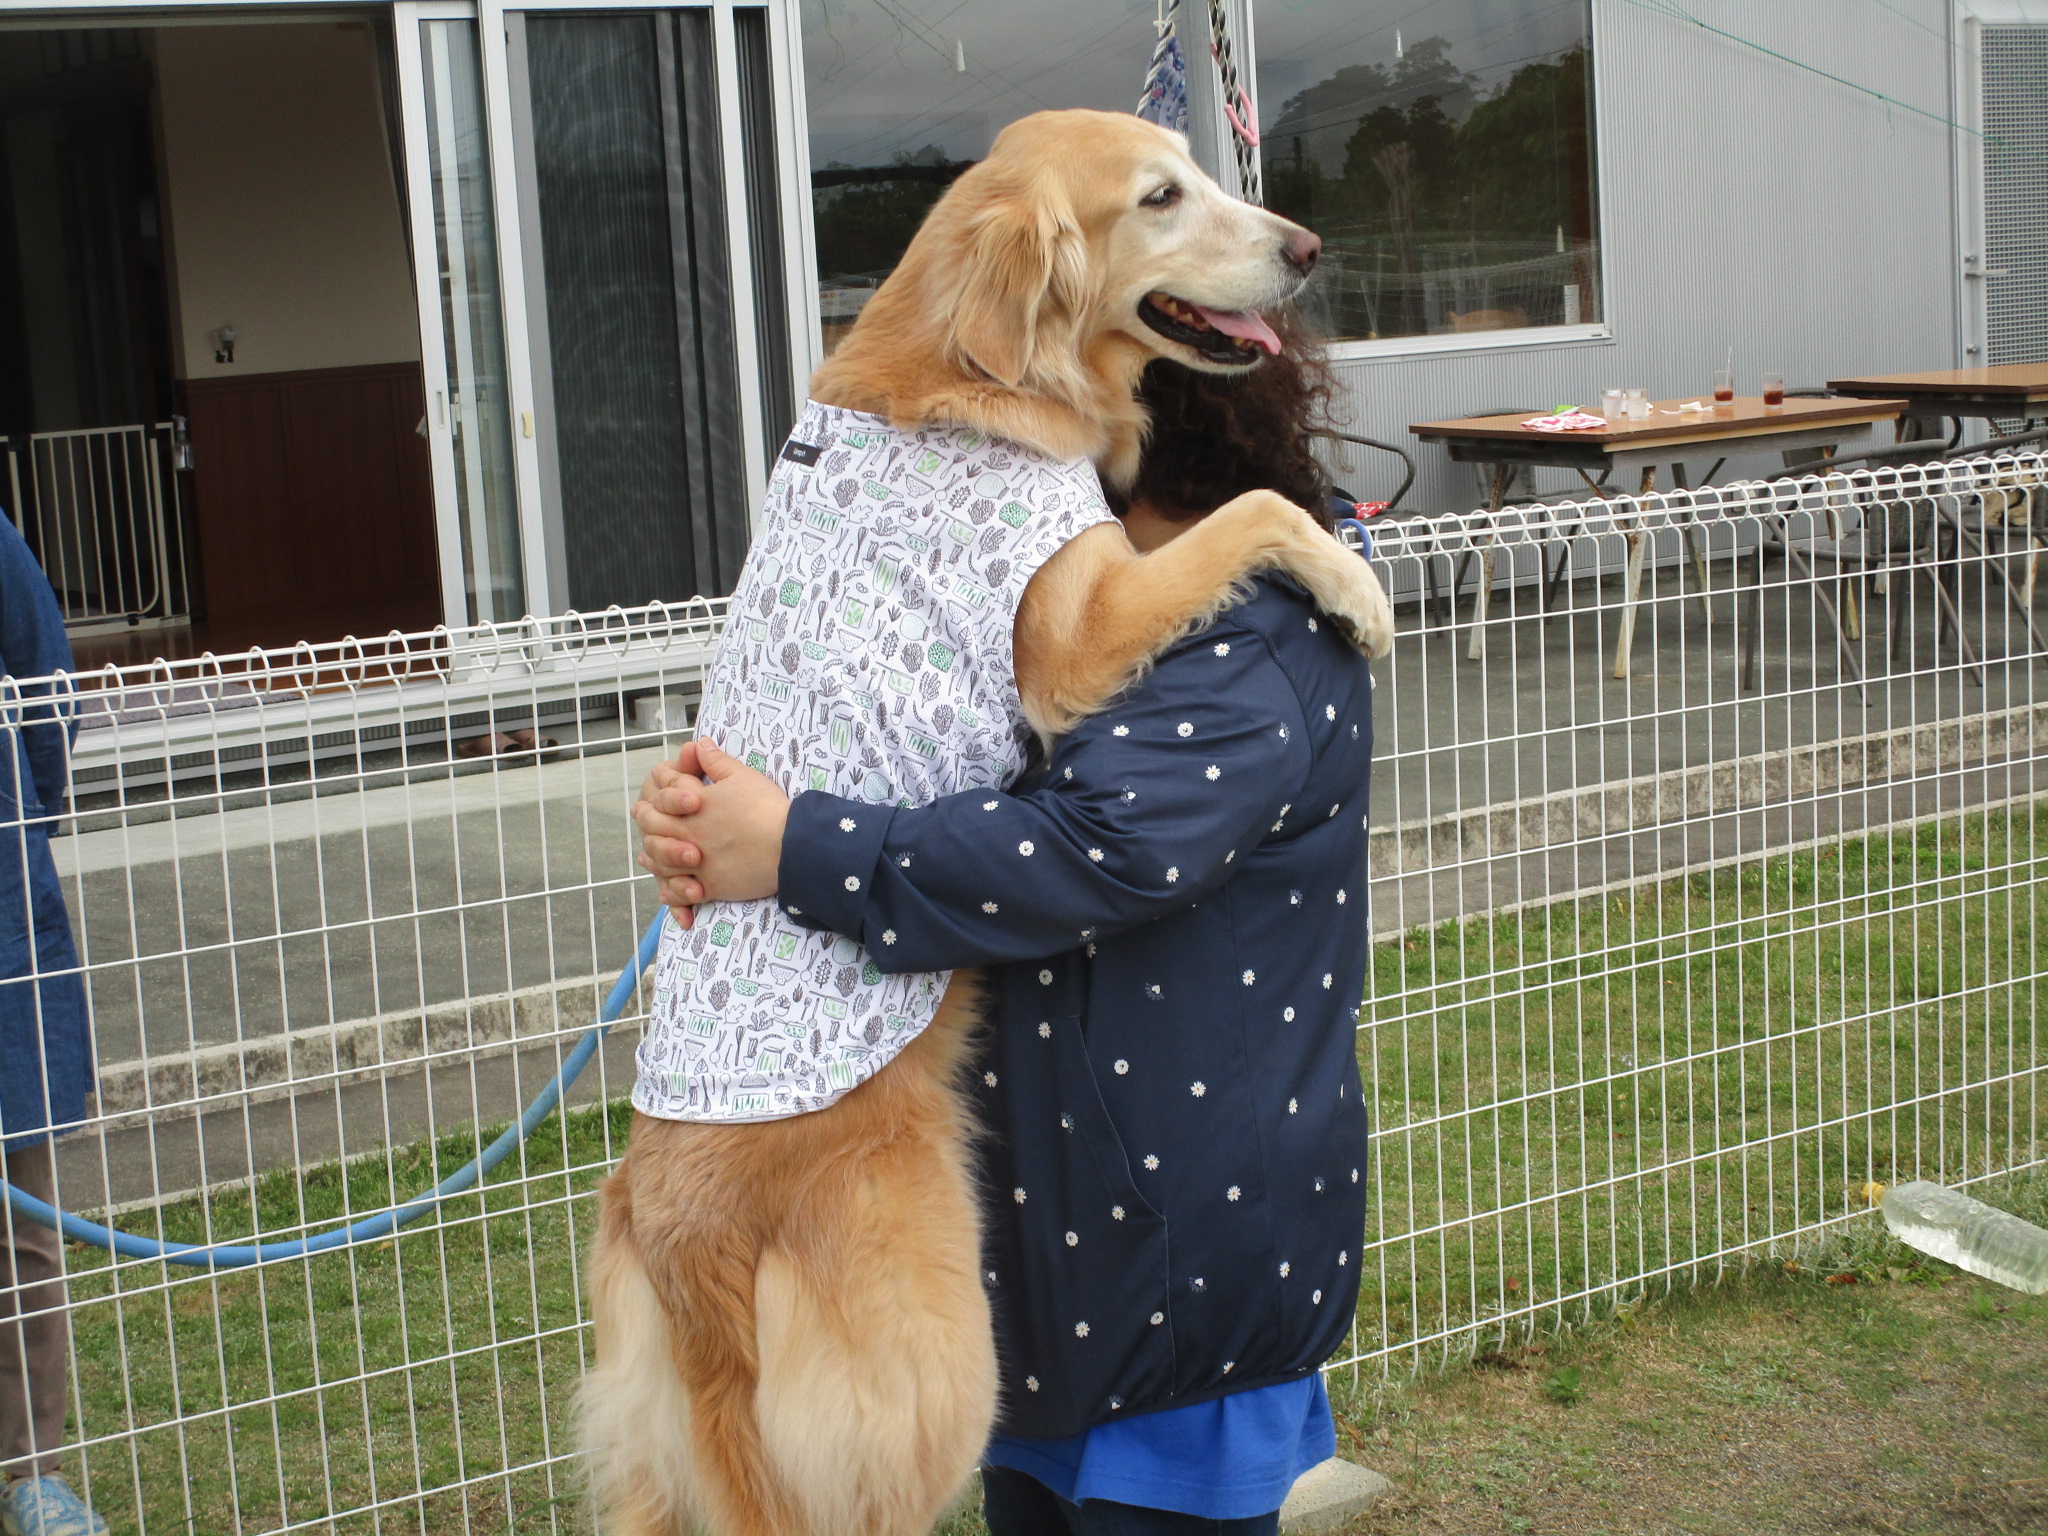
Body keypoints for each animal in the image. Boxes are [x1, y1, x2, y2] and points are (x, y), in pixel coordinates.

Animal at [585, 111, 1400, 1536]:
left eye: (1201, 169)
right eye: (1159, 196)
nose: (1306, 247)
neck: (958, 370)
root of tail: (691, 1272)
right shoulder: (1072, 627)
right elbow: (1255, 510)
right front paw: (1355, 588)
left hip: (655, 1462)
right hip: (937, 1369)